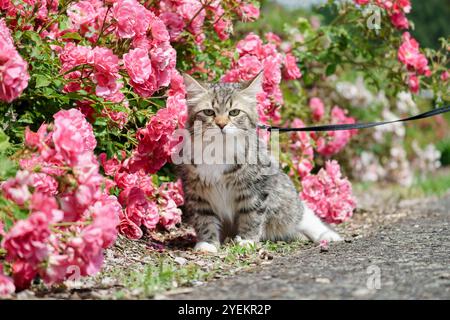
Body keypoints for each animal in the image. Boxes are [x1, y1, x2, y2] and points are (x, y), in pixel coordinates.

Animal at [179, 72, 342, 252]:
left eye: (234, 112)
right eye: (209, 112)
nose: (221, 124)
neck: (219, 149)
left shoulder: (256, 189)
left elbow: (251, 216)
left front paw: (247, 241)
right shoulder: (197, 192)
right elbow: (204, 219)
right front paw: (207, 244)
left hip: (291, 205)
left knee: (307, 219)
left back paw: (328, 236)